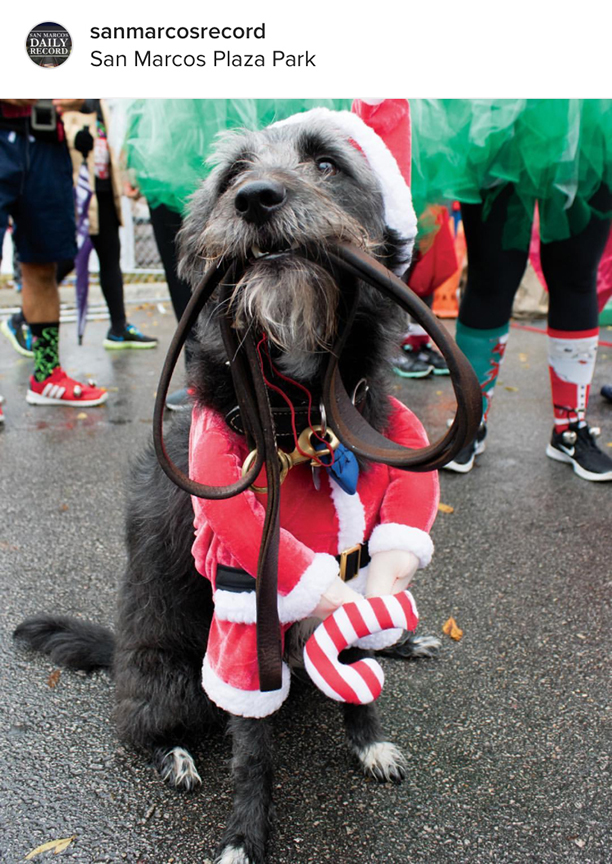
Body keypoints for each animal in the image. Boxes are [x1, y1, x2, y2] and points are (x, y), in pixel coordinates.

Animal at [14, 116, 440, 864]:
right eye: (233, 172)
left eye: (326, 163)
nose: (256, 199)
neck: (298, 414)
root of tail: (118, 658)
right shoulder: (245, 591)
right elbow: (252, 749)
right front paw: (246, 834)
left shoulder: (356, 557)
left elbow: (356, 658)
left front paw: (368, 741)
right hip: (172, 680)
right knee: (139, 730)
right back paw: (176, 755)